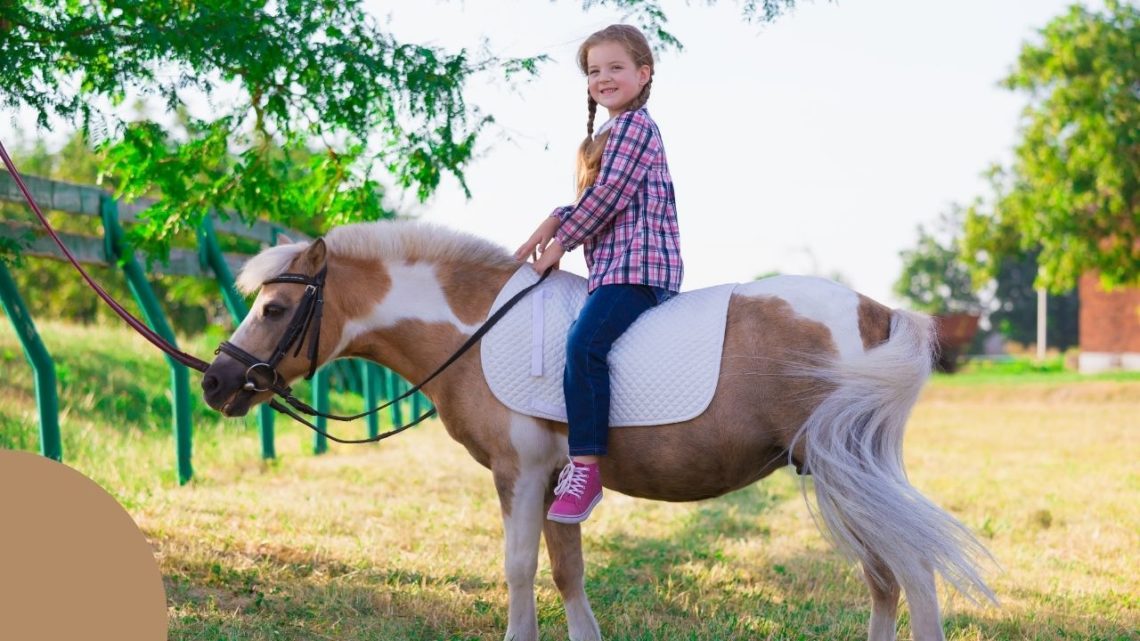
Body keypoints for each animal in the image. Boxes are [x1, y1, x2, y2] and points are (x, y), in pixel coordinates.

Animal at [200, 221, 994, 638]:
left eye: (274, 308)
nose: (215, 382)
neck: (474, 330)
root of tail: (877, 312)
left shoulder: (520, 475)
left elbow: (519, 568)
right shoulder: (558, 478)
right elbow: (566, 570)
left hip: (843, 473)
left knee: (910, 572)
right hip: (844, 474)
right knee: (886, 577)